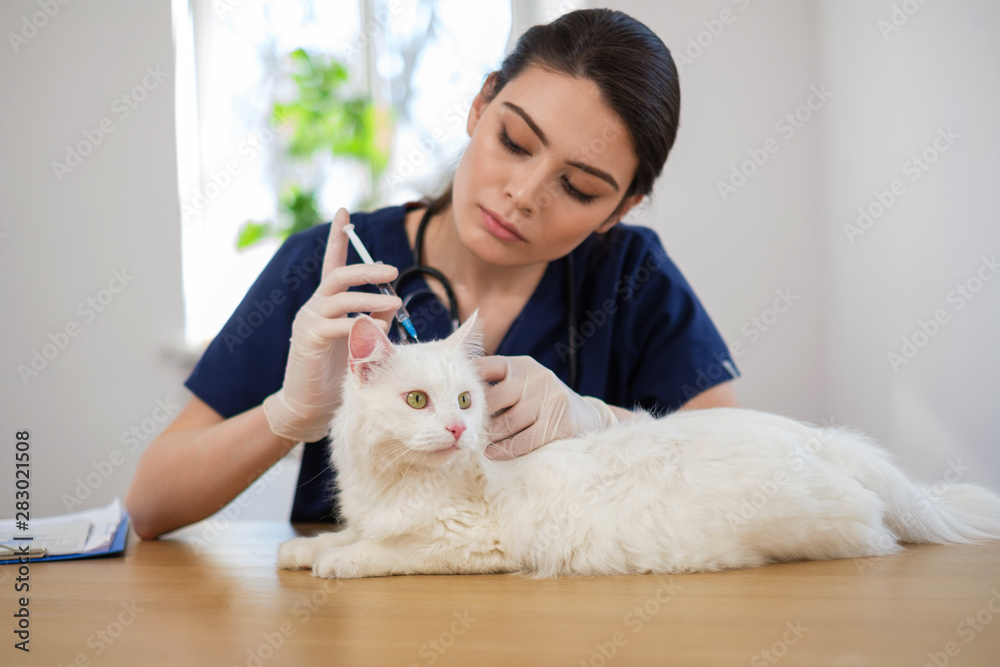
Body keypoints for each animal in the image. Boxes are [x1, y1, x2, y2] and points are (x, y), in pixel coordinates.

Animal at [278, 314, 1000, 580]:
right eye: (417, 402)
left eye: (463, 402)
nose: (458, 432)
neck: (396, 479)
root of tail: (818, 437)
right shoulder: (376, 511)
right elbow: (349, 532)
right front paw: (302, 550)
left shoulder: (473, 543)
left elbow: (383, 551)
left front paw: (333, 563)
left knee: (878, 536)